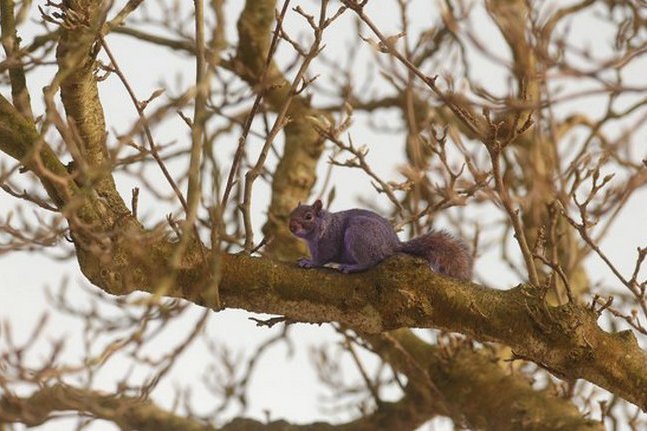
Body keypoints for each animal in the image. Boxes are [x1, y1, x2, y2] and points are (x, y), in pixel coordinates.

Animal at [292, 201, 474, 282]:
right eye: (292, 212)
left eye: (308, 216)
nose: (291, 226)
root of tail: (393, 245)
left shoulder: (329, 241)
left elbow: (323, 258)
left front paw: (310, 263)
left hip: (359, 235)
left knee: (370, 261)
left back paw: (352, 267)